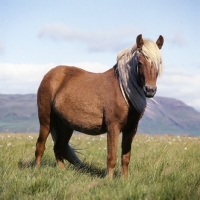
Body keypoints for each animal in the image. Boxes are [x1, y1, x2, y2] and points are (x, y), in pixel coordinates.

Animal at [35, 34, 164, 178]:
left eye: (159, 62)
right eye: (140, 62)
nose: (150, 90)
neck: (123, 91)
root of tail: (50, 74)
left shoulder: (131, 129)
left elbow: (126, 157)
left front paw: (125, 179)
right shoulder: (113, 127)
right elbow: (111, 157)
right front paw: (109, 180)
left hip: (66, 126)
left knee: (58, 148)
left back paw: (63, 173)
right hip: (46, 121)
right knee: (40, 146)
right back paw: (36, 171)